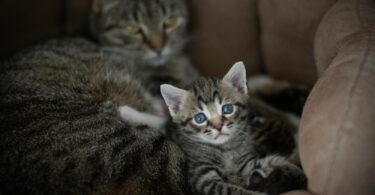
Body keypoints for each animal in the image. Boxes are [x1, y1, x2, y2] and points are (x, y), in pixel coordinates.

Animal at [160, 62, 306, 195]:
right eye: (200, 118)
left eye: (227, 109)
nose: (218, 127)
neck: (225, 149)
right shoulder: (202, 178)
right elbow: (234, 191)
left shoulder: (245, 162)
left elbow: (267, 161)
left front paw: (294, 169)